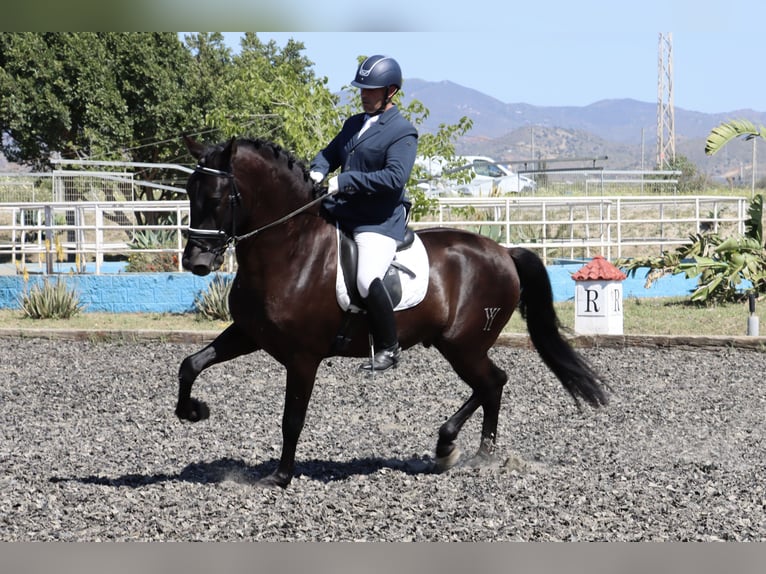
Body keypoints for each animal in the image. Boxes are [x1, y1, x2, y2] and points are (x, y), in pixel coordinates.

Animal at [176, 136, 612, 490]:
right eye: (189, 192)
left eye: (217, 198)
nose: (196, 262)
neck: (291, 249)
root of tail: (504, 252)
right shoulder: (248, 333)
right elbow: (190, 364)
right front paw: (193, 410)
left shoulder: (303, 357)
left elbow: (292, 418)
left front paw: (280, 477)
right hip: (458, 344)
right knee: (491, 385)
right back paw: (463, 450)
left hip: (462, 344)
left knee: (492, 382)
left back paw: (461, 449)